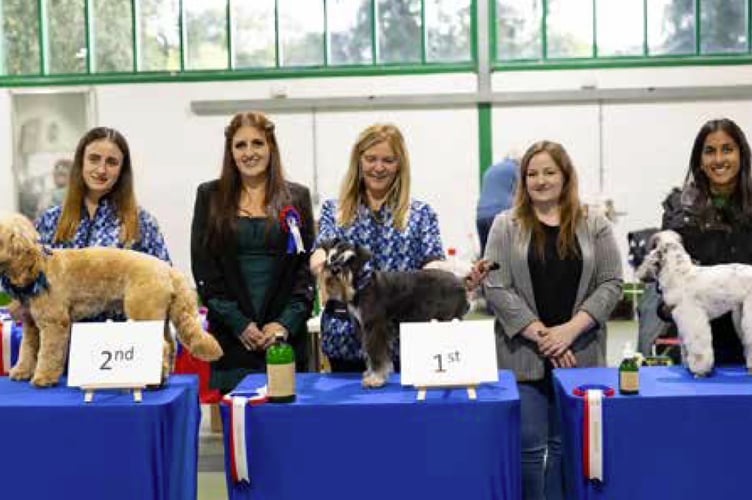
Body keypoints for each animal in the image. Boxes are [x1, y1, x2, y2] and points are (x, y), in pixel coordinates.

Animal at [0, 211, 223, 386]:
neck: (38, 268)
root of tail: (168, 270)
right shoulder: (31, 325)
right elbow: (27, 350)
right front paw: (22, 372)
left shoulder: (54, 324)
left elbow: (48, 354)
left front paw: (44, 378)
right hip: (160, 317)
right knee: (171, 344)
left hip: (144, 314)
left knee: (163, 346)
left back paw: (155, 381)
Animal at [318, 240, 488, 388]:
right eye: (332, 257)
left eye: (351, 260)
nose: (334, 270)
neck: (361, 285)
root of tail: (461, 281)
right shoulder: (363, 328)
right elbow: (369, 354)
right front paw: (371, 373)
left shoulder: (375, 328)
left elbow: (377, 355)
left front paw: (376, 379)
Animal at [636, 229, 752, 376]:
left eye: (652, 252)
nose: (640, 274)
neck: (680, 274)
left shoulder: (692, 317)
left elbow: (697, 346)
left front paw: (699, 370)